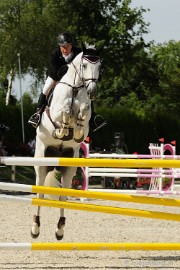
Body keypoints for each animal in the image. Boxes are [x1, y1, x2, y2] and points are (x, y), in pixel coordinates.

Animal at [31, 44, 101, 240]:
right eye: (84, 65)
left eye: (99, 66)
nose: (92, 92)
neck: (76, 88)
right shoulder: (55, 111)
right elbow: (64, 109)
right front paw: (63, 127)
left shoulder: (86, 113)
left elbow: (83, 110)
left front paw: (75, 131)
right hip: (41, 162)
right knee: (40, 192)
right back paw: (35, 228)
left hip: (69, 166)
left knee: (63, 197)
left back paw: (60, 230)